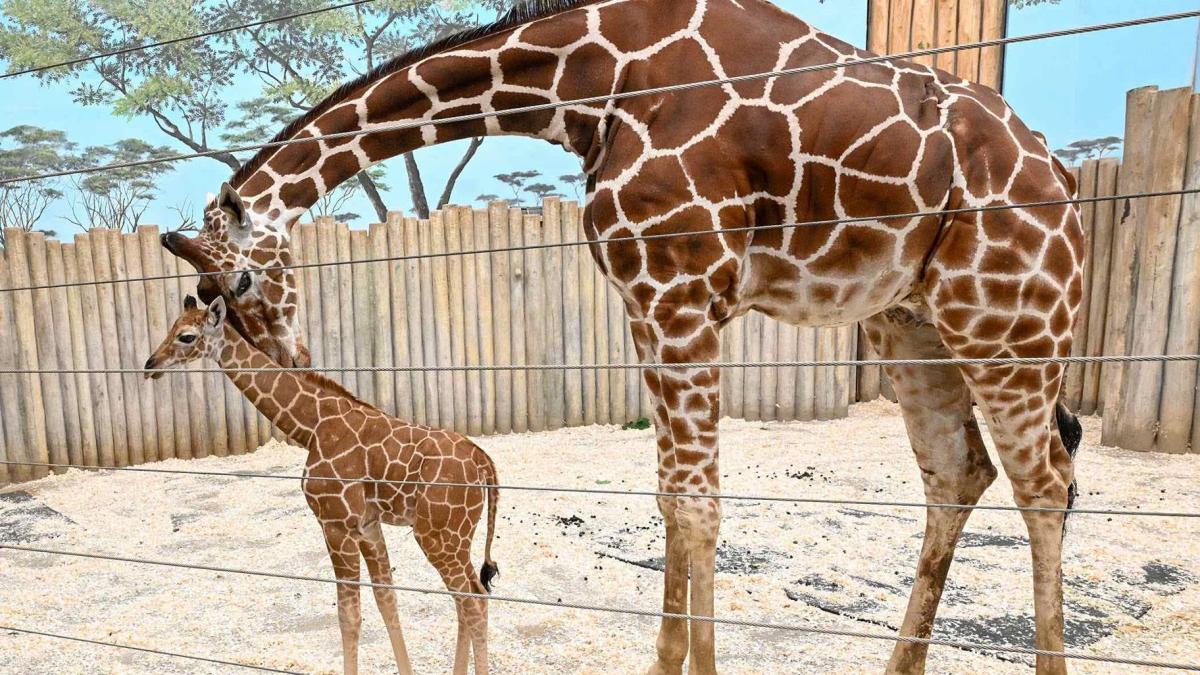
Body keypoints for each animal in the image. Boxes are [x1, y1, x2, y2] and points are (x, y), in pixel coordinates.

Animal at [144, 293, 501, 675]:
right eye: (171, 327)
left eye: (186, 336)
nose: (151, 365)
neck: (311, 427)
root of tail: (485, 464)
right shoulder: (367, 525)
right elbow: (386, 600)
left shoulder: (335, 523)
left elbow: (348, 615)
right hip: (455, 536)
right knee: (466, 597)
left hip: (438, 534)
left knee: (473, 598)